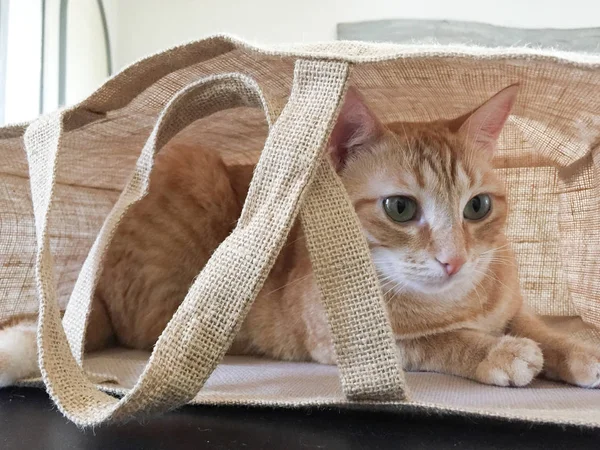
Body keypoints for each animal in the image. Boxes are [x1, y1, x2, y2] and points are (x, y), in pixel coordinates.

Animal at [1, 87, 600, 386]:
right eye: (401, 208)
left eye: (477, 206)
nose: (452, 260)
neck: (454, 300)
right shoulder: (350, 342)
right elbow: (439, 340)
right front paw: (496, 351)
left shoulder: (514, 307)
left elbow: (543, 330)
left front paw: (575, 351)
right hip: (193, 179)